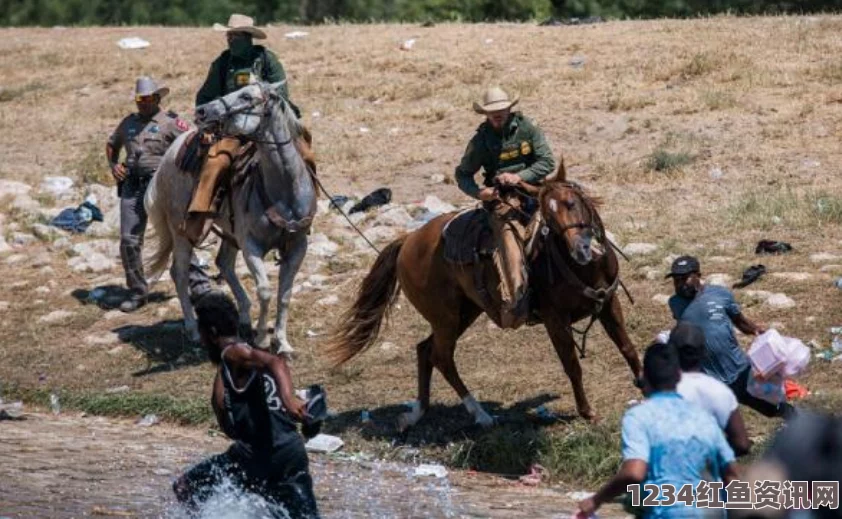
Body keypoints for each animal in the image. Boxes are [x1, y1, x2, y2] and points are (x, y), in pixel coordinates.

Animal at [144, 83, 316, 356]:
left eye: (246, 96)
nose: (202, 111)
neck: (284, 191)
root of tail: (168, 157)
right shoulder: (251, 246)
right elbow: (265, 291)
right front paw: (262, 339)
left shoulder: (298, 246)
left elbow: (285, 295)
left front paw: (283, 343)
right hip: (181, 232)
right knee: (179, 273)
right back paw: (193, 330)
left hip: (229, 233)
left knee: (223, 263)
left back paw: (243, 317)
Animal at [324, 166, 640, 430]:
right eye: (548, 217)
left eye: (572, 204)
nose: (581, 249)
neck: (582, 268)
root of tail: (407, 241)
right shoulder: (555, 320)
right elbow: (572, 365)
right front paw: (587, 412)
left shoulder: (609, 304)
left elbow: (627, 347)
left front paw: (642, 382)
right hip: (446, 318)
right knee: (441, 356)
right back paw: (480, 414)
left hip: (465, 312)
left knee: (425, 350)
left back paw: (417, 412)